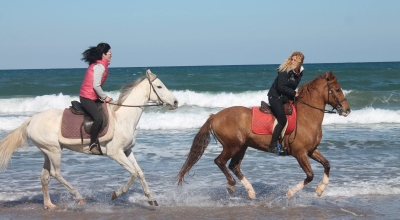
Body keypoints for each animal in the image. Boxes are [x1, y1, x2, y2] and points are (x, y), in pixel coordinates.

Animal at [0, 69, 178, 209]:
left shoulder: (127, 151)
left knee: (45, 176)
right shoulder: (115, 153)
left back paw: (49, 204)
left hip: (47, 152)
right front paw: (116, 193)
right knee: (55, 173)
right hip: (54, 151)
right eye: (159, 86)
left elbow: (140, 172)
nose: (176, 102)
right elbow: (133, 173)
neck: (122, 118)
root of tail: (32, 119)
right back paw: (78, 197)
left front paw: (151, 199)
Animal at [178, 71, 350, 199]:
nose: (347, 110)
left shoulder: (311, 150)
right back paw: (232, 186)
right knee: (220, 161)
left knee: (234, 166)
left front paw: (321, 189)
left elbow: (327, 164)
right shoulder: (300, 153)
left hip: (242, 146)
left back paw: (250, 191)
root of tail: (215, 116)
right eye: (337, 90)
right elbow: (310, 175)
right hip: (233, 145)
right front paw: (290, 192)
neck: (307, 116)